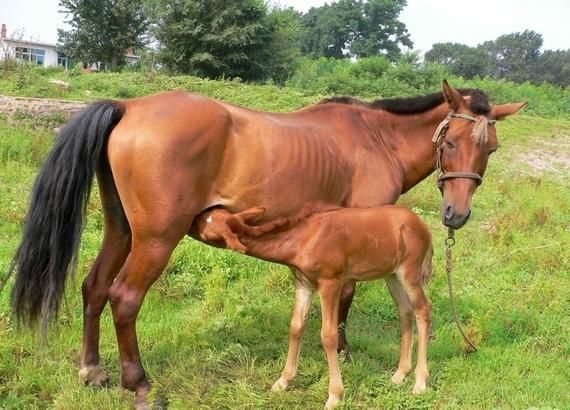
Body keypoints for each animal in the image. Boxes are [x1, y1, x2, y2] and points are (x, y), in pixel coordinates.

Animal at [193, 207, 432, 408]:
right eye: (210, 215)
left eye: (207, 222)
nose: (193, 218)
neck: (303, 240)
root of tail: (424, 226)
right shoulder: (303, 283)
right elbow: (296, 327)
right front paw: (283, 381)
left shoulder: (330, 282)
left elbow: (328, 335)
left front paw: (335, 395)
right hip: (391, 274)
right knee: (405, 311)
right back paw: (400, 374)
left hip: (410, 271)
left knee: (423, 309)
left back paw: (420, 382)